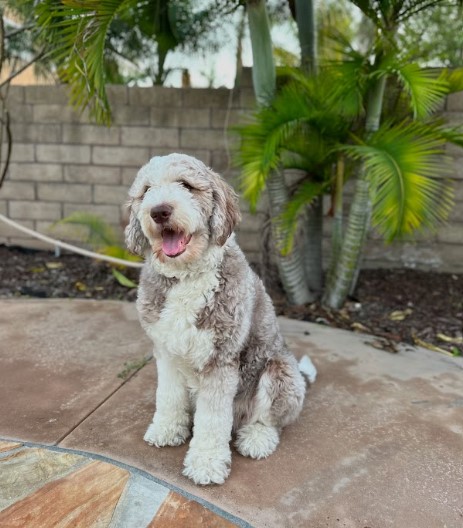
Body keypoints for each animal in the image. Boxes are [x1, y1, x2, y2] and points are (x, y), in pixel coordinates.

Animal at [125, 154, 318, 486]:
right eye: (147, 190)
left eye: (186, 185)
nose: (159, 211)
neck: (187, 275)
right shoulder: (166, 351)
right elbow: (168, 395)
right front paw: (167, 429)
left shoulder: (221, 360)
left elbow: (213, 420)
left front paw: (206, 463)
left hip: (278, 371)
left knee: (268, 419)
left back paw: (257, 438)